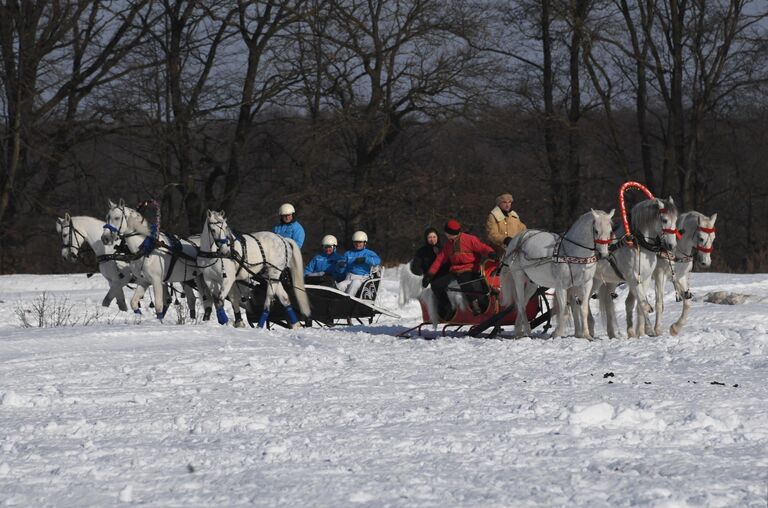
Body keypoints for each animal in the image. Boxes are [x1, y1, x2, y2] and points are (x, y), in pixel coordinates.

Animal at [500, 208, 616, 340]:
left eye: (610, 231)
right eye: (596, 231)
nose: (603, 255)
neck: (574, 253)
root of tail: (516, 239)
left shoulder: (586, 284)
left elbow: (583, 309)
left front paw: (586, 335)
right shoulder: (561, 286)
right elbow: (564, 312)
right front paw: (557, 333)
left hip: (532, 283)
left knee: (523, 302)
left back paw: (519, 330)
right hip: (518, 276)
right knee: (520, 304)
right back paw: (527, 331)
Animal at [592, 197, 680, 338]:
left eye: (676, 220)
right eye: (665, 220)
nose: (671, 245)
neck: (638, 243)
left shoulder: (647, 278)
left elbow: (642, 304)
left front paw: (641, 332)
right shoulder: (633, 278)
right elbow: (643, 304)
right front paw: (649, 330)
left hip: (608, 280)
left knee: (607, 303)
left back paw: (611, 334)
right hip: (592, 280)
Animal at [628, 210, 716, 338]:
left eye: (713, 238)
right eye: (700, 238)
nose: (706, 262)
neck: (676, 250)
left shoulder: (680, 278)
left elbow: (687, 303)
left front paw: (675, 328)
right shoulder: (660, 276)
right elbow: (659, 304)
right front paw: (658, 330)